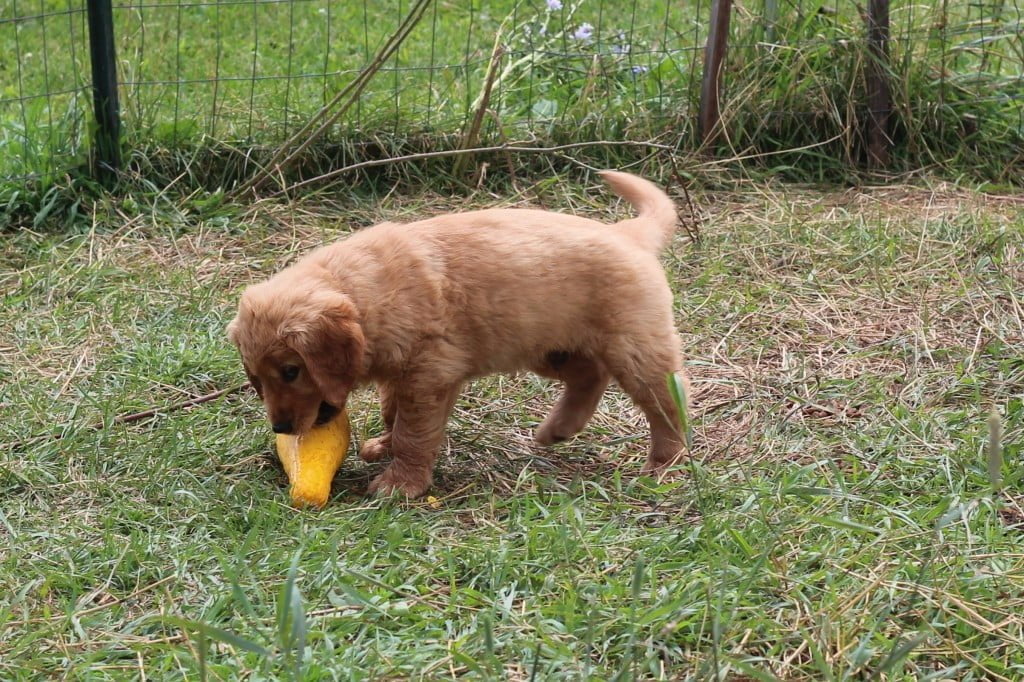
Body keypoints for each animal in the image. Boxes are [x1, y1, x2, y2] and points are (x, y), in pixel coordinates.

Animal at [228, 171, 692, 493]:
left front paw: (402, 483)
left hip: (636, 349)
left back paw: (662, 463)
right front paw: (386, 446)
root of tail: (625, 233)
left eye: (292, 371)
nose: (281, 429)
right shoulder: (408, 374)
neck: (366, 292)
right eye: (256, 379)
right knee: (589, 376)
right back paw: (557, 429)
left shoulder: (428, 374)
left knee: (667, 401)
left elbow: (414, 432)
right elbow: (393, 413)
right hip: (549, 347)